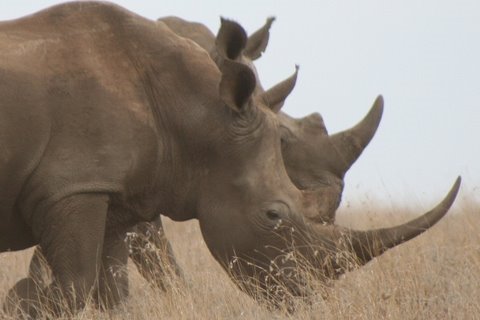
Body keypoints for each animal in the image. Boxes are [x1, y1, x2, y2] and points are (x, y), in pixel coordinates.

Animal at [0, 1, 462, 318]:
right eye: (274, 215)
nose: (306, 297)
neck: (194, 112)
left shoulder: (111, 190)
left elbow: (112, 292)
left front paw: (20, 296)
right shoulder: (75, 187)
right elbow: (76, 286)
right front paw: (20, 300)